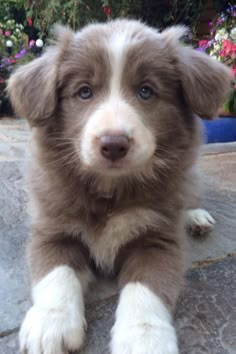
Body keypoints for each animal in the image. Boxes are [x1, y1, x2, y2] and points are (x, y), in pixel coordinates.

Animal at [8, 20, 231, 354]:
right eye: (84, 92)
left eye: (146, 91)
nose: (113, 144)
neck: (110, 190)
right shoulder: (52, 228)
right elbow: (56, 272)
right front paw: (51, 323)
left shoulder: (158, 239)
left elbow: (147, 288)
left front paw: (145, 338)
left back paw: (196, 216)